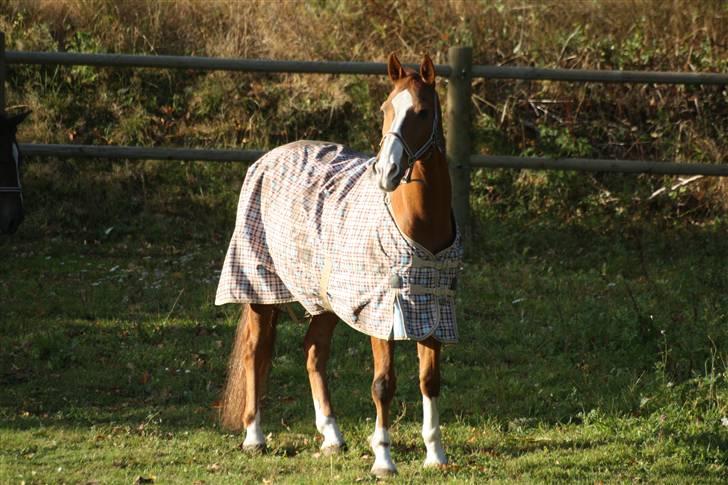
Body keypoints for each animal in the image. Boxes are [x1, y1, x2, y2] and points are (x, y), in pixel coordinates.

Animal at [215, 53, 461, 477]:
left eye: (423, 111)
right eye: (385, 109)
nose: (386, 172)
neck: (418, 223)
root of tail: (266, 159)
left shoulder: (432, 308)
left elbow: (430, 380)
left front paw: (436, 456)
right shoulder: (384, 311)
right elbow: (383, 384)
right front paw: (383, 459)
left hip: (325, 299)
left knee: (314, 350)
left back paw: (331, 435)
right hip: (259, 287)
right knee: (255, 353)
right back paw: (254, 437)